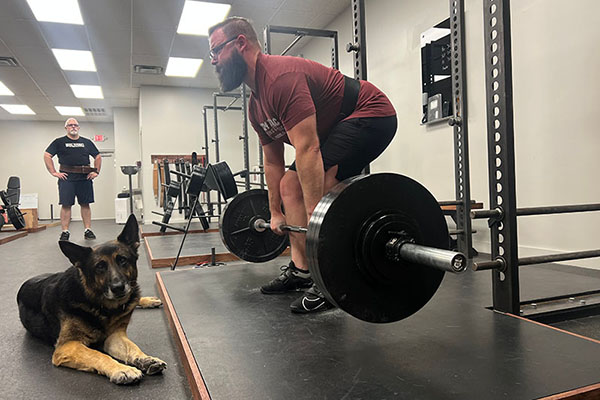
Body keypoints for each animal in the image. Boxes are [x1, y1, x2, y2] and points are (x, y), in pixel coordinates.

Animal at [16, 216, 166, 384]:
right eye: (99, 267)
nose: (118, 288)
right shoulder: (67, 346)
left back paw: (148, 300)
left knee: (135, 297)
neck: (100, 306)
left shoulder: (114, 336)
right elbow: (98, 355)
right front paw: (122, 369)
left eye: (122, 260)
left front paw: (146, 358)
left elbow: (132, 347)